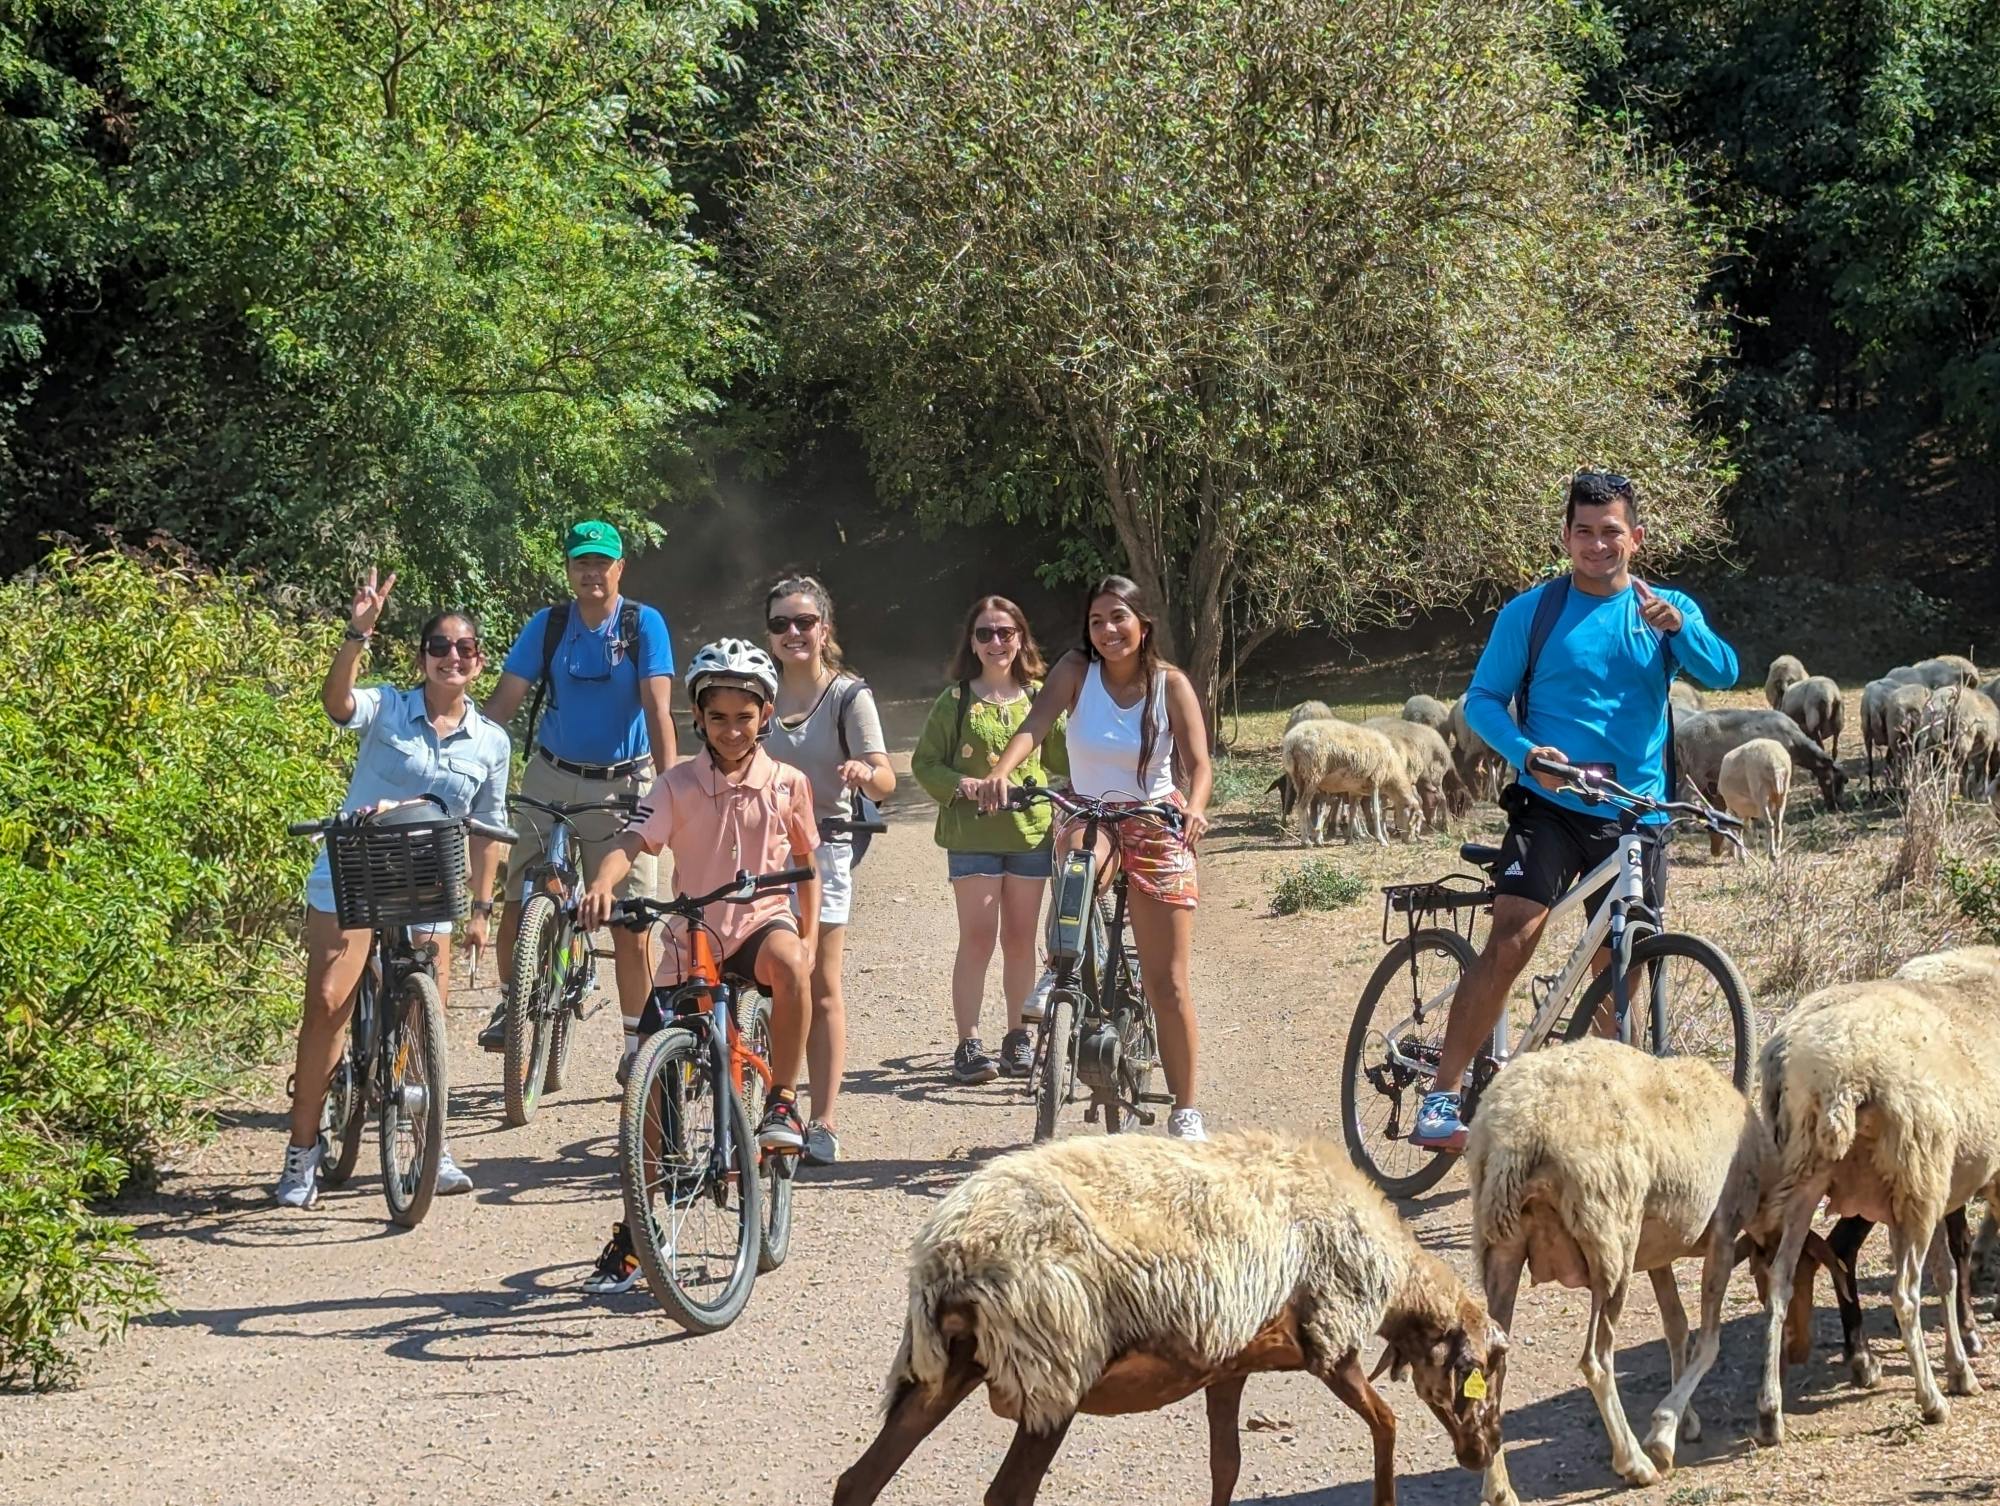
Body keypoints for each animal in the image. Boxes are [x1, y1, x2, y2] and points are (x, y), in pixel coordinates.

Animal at [828, 1128, 1504, 1504]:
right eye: (1482, 1373)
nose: (1484, 1451)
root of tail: (946, 1252)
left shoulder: (1232, 1365)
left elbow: (1227, 1466)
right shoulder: (1330, 1339)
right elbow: (1386, 1423)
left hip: (944, 1369)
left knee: (857, 1482)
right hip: (1053, 1366)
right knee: (1006, 1495)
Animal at [1280, 716, 1424, 848]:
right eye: (1415, 817)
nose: (1411, 840)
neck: (1391, 774)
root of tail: (1292, 741)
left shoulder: (1355, 790)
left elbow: (1353, 812)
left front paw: (1349, 840)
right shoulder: (1375, 781)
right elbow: (1376, 812)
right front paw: (1381, 840)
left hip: (1298, 779)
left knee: (1304, 807)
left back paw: (1313, 837)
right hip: (1313, 775)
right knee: (1302, 806)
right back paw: (1307, 841)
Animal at [1464, 1040, 1776, 1488]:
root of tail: (1519, 1132)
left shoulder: (1658, 1253)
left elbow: (1676, 1327)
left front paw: (1685, 1419)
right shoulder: (1722, 1229)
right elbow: (1708, 1341)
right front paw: (1663, 1434)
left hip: (1501, 1248)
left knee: (1492, 1370)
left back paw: (1500, 1489)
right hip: (1610, 1242)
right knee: (1596, 1360)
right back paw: (1634, 1463)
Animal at [1672, 712, 1840, 816]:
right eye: (1829, 780)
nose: (1833, 807)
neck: (1797, 744)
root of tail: (1679, 735)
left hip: (1686, 770)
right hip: (1696, 771)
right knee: (1684, 795)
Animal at [1752, 944, 2000, 1440]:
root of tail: (1831, 1073)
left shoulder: (1938, 1188)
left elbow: (1947, 1273)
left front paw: (1960, 1368)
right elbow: (1946, 1271)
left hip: (1809, 1176)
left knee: (1780, 1280)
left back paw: (1771, 1411)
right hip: (1916, 1175)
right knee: (1903, 1293)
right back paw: (1930, 1400)